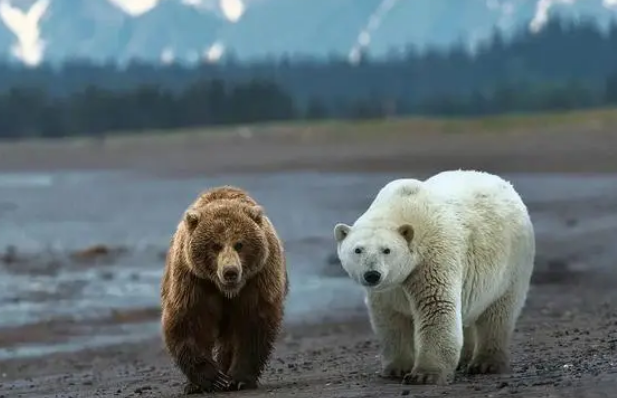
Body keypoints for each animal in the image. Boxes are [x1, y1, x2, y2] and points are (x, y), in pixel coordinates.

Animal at [162, 185, 290, 394]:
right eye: (215, 245)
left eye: (240, 244)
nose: (230, 271)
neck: (226, 290)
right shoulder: (193, 281)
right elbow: (188, 322)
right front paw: (213, 379)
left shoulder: (257, 280)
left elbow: (253, 325)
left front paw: (238, 378)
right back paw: (194, 385)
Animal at [332, 169, 536, 386]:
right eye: (358, 250)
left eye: (386, 250)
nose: (372, 275)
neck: (403, 207)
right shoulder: (388, 288)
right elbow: (390, 317)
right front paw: (396, 368)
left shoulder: (433, 256)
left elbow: (436, 305)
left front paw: (424, 374)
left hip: (512, 262)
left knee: (499, 312)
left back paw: (486, 364)